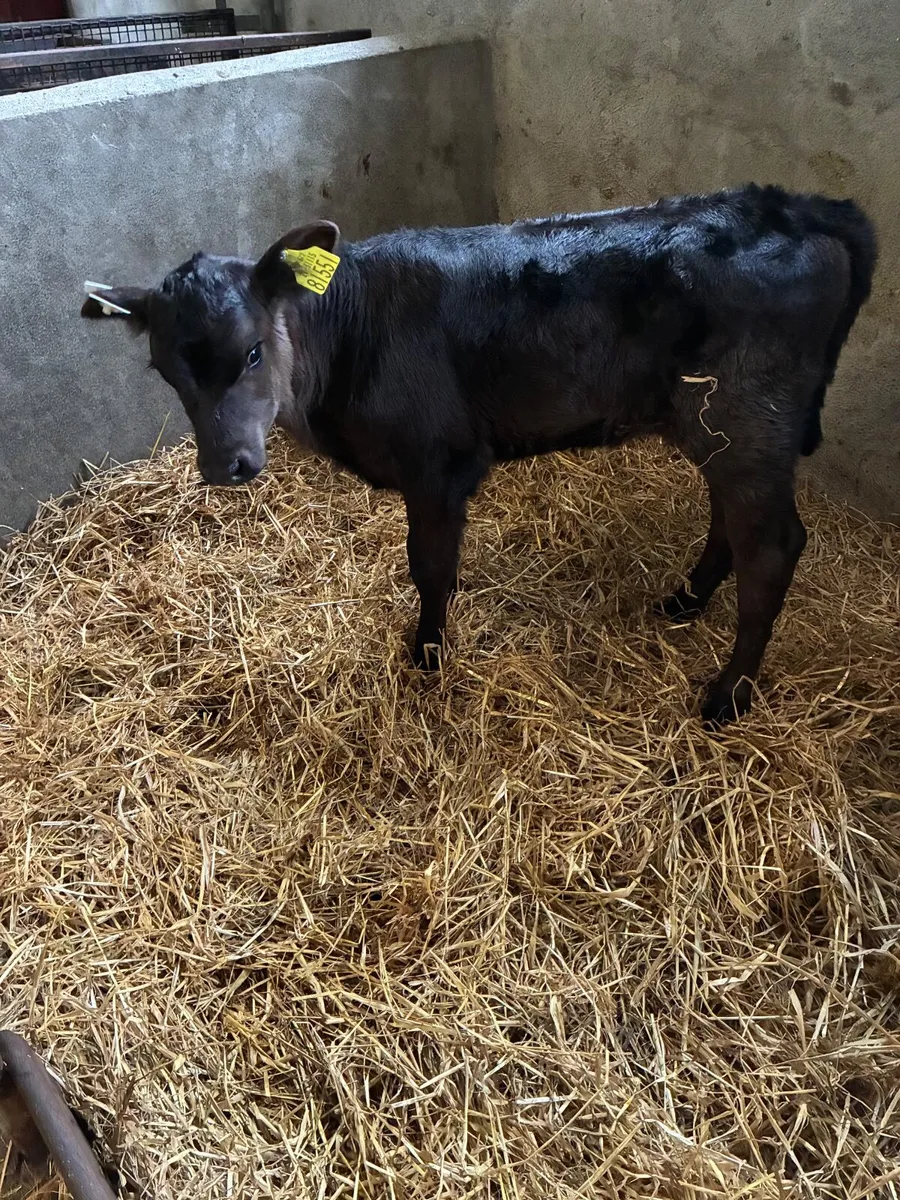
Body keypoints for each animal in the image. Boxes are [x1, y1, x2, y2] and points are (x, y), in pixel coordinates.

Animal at [81, 184, 876, 724]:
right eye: (165, 370)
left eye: (250, 351)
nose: (228, 466)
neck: (348, 335)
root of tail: (800, 205)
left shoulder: (439, 465)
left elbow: (431, 570)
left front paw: (427, 655)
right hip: (716, 423)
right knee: (729, 519)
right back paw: (685, 599)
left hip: (745, 414)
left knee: (773, 547)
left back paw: (727, 695)